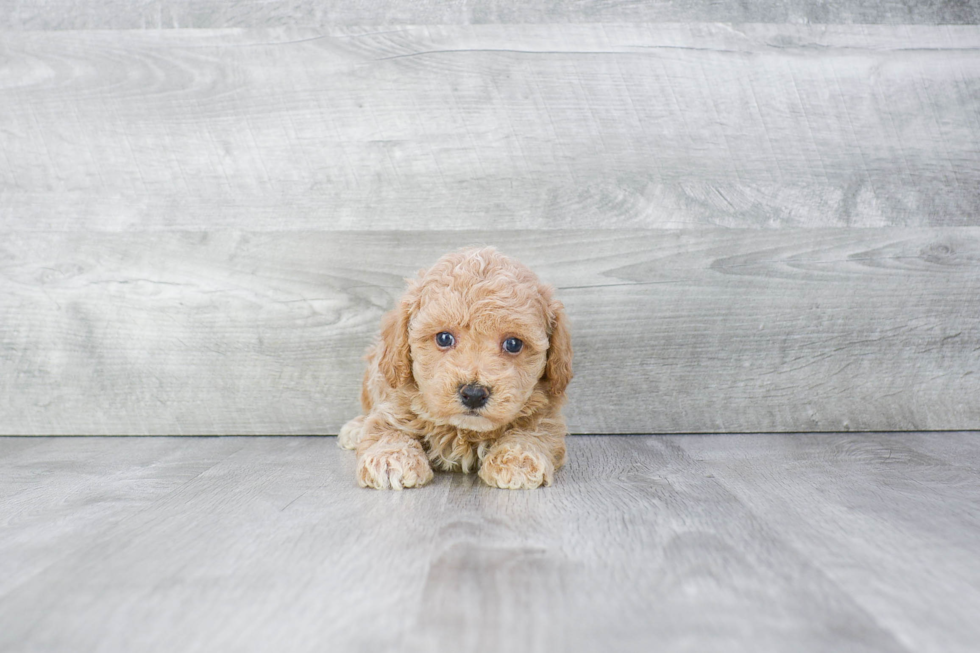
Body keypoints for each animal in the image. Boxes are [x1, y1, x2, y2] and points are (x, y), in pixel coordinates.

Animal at [340, 247, 576, 486]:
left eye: (513, 344)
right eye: (444, 338)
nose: (474, 394)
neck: (464, 430)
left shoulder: (546, 413)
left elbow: (536, 431)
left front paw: (518, 460)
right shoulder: (392, 403)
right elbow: (386, 429)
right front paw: (389, 459)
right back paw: (355, 428)